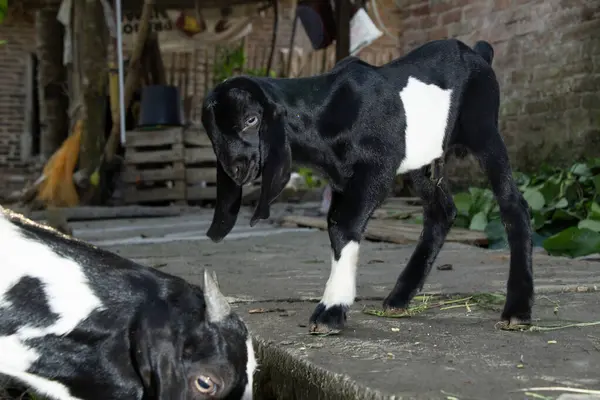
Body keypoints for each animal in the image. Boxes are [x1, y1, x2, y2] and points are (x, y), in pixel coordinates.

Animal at [202, 39, 536, 334]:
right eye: (213, 134)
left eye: (251, 119)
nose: (236, 169)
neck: (322, 114)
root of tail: (479, 52)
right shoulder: (341, 178)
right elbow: (335, 223)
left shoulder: (378, 167)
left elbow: (343, 224)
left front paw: (331, 310)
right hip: (423, 158)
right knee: (441, 211)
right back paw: (399, 298)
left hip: (483, 129)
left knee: (513, 205)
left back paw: (517, 310)